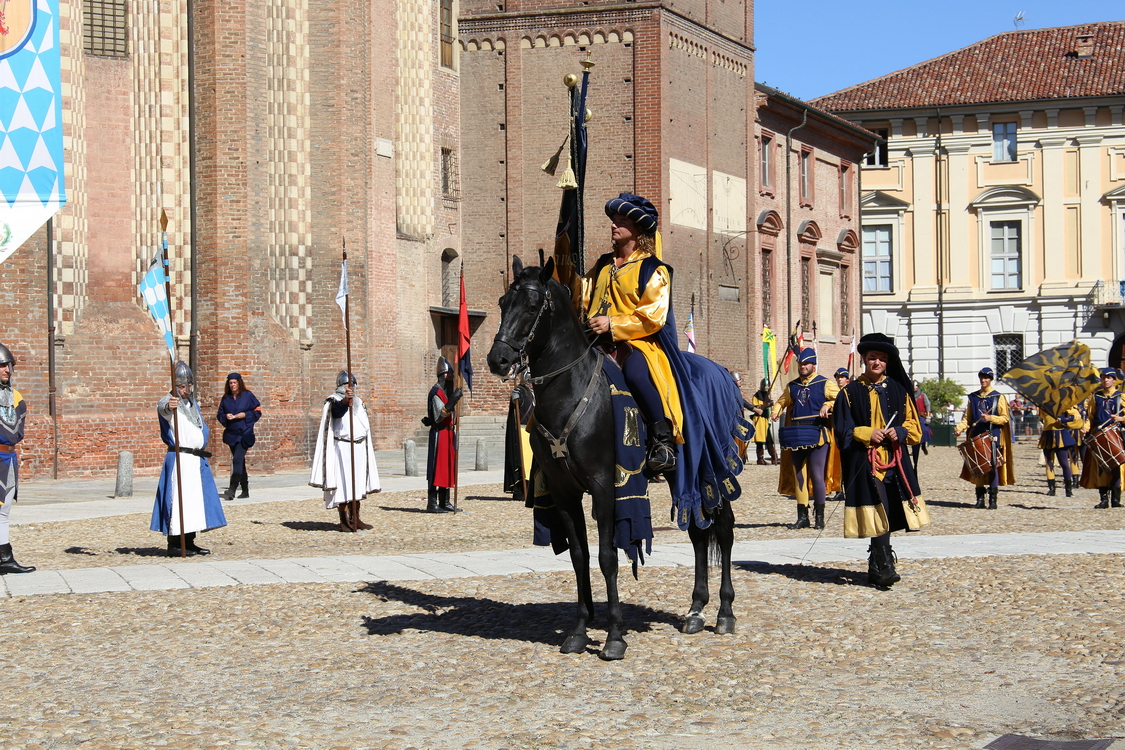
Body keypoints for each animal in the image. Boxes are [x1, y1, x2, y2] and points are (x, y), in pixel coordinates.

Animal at [486, 258, 738, 661]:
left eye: (531, 305)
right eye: (501, 302)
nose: (499, 360)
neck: (568, 390)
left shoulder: (605, 486)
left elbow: (607, 557)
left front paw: (614, 636)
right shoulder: (564, 492)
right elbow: (579, 556)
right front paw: (578, 631)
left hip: (713, 469)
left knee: (724, 531)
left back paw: (725, 613)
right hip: (685, 475)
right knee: (699, 534)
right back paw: (696, 611)